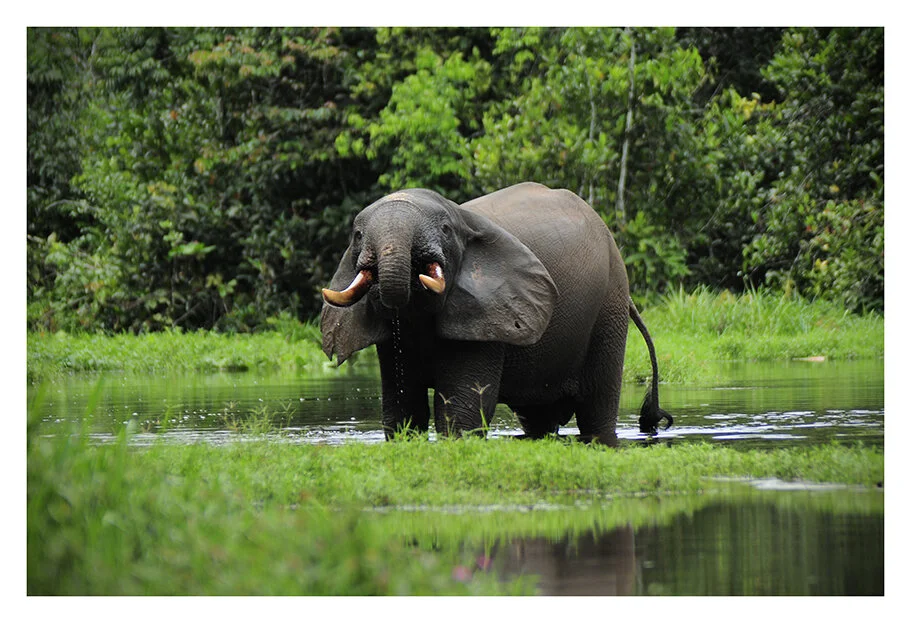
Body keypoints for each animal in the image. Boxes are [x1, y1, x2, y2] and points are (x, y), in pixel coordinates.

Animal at [320, 182, 672, 445]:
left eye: (445, 229)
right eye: (357, 236)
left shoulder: (489, 315)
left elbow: (463, 406)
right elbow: (402, 406)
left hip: (608, 307)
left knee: (595, 408)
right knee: (539, 417)